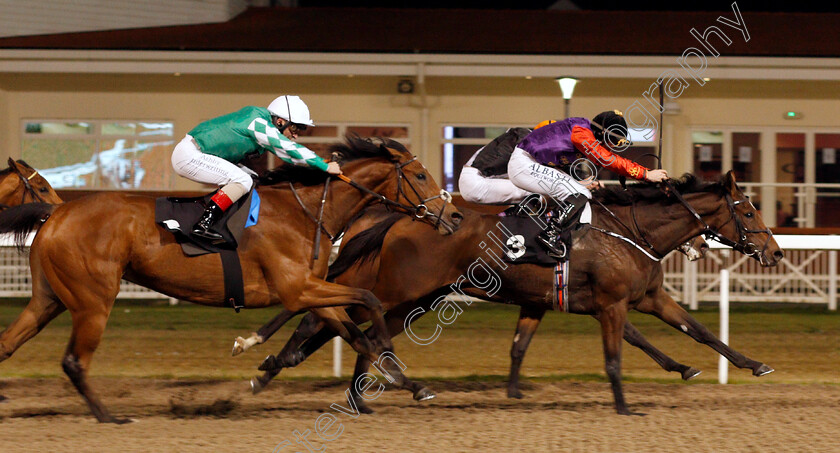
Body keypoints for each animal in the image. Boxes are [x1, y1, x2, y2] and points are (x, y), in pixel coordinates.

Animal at [0, 136, 460, 422]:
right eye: (421, 176)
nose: (454, 216)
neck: (305, 212)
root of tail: (58, 211)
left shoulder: (309, 291)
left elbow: (352, 331)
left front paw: (407, 381)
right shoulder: (299, 289)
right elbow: (370, 300)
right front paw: (393, 365)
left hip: (50, 298)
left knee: (9, 344)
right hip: (93, 301)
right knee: (75, 360)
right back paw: (109, 417)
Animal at [235, 171, 780, 414]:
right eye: (748, 210)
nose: (774, 252)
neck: (630, 230)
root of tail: (401, 216)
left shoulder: (641, 298)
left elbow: (700, 331)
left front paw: (751, 364)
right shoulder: (610, 303)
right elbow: (617, 354)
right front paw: (625, 405)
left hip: (418, 298)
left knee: (360, 330)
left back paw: (349, 392)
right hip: (397, 287)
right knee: (338, 320)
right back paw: (291, 369)